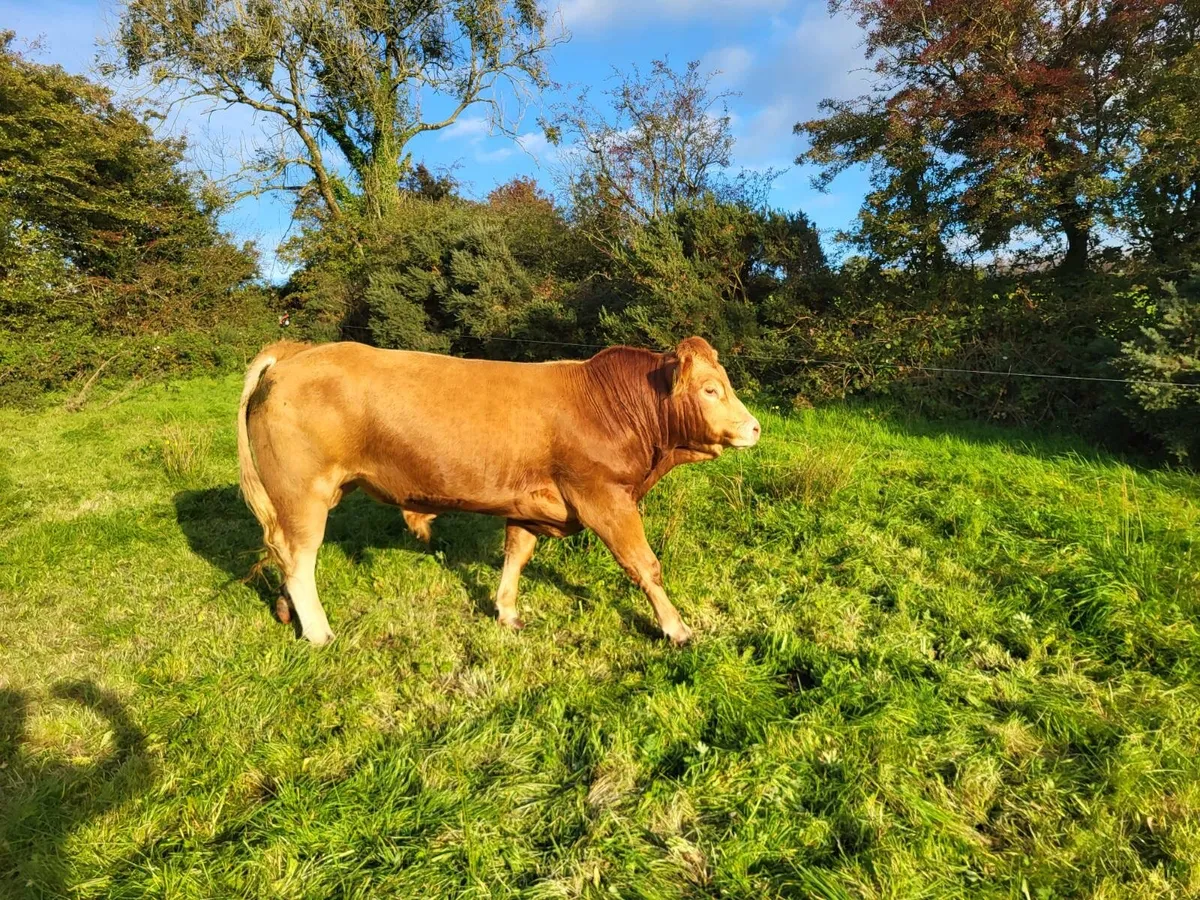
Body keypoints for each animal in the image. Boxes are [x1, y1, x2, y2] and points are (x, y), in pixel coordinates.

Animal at [235, 336, 760, 647]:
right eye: (711, 390)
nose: (754, 427)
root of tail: (297, 350)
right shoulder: (604, 497)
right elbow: (644, 565)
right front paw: (677, 628)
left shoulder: (531, 504)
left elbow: (516, 555)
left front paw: (506, 612)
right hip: (303, 492)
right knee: (299, 556)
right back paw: (319, 631)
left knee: (284, 553)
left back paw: (287, 611)